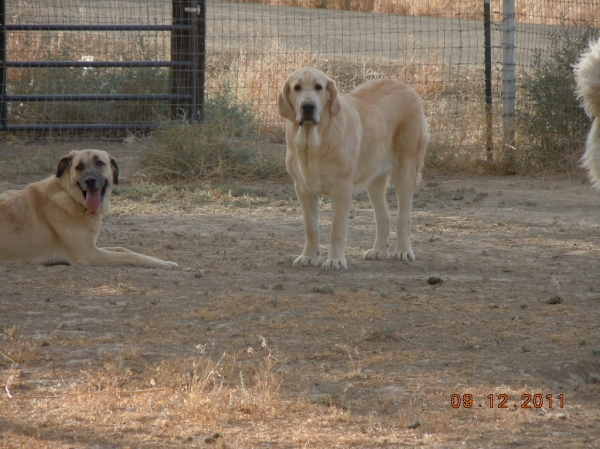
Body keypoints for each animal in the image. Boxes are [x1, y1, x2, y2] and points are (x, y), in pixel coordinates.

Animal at [0, 149, 178, 268]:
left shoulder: (94, 246)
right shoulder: (90, 254)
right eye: (79, 167)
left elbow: (125, 249)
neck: (71, 197)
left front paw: (164, 260)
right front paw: (163, 264)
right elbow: (130, 256)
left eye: (100, 163)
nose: (90, 180)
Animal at [278, 68, 428, 268]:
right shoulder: (303, 189)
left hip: (406, 170)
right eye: (297, 88)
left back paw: (403, 251)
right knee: (383, 215)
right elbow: (311, 227)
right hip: (374, 179)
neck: (314, 143)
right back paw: (378, 251)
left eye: (319, 87)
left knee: (403, 216)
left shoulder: (341, 190)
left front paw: (335, 260)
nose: (308, 106)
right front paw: (309, 256)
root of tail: (406, 87)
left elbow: (337, 229)